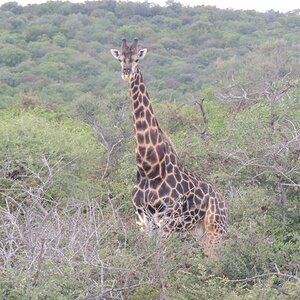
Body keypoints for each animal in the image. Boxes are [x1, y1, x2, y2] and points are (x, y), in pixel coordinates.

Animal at [110, 38, 227, 255]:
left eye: (137, 58)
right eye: (120, 58)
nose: (126, 72)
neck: (149, 168)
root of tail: (223, 200)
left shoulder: (167, 221)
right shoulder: (142, 221)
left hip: (216, 227)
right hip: (199, 231)